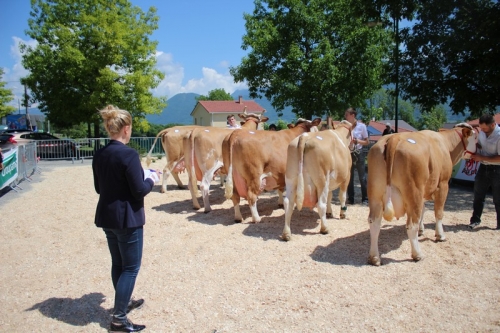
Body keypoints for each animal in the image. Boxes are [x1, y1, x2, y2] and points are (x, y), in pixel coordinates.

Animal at [366, 122, 478, 264]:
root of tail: (393, 138)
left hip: (376, 194)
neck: (445, 144)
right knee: (411, 225)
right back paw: (417, 254)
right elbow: (439, 212)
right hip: (414, 191)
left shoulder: (424, 192)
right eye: (476, 138)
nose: (478, 151)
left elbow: (423, 211)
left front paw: (422, 229)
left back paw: (374, 257)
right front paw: (440, 235)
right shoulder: (443, 185)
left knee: (374, 223)